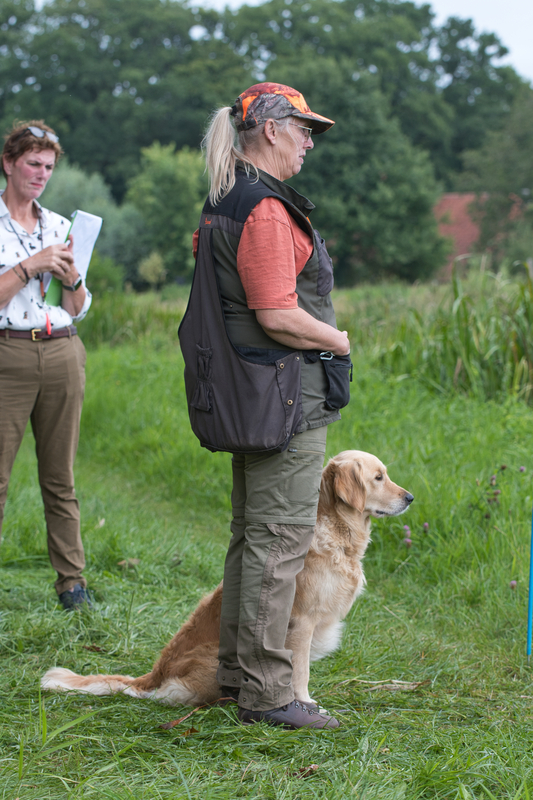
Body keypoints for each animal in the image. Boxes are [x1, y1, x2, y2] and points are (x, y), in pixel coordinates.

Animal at [42, 451, 413, 706]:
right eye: (378, 477)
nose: (410, 497)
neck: (337, 533)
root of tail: (152, 675)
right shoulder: (302, 622)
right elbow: (300, 673)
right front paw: (305, 705)